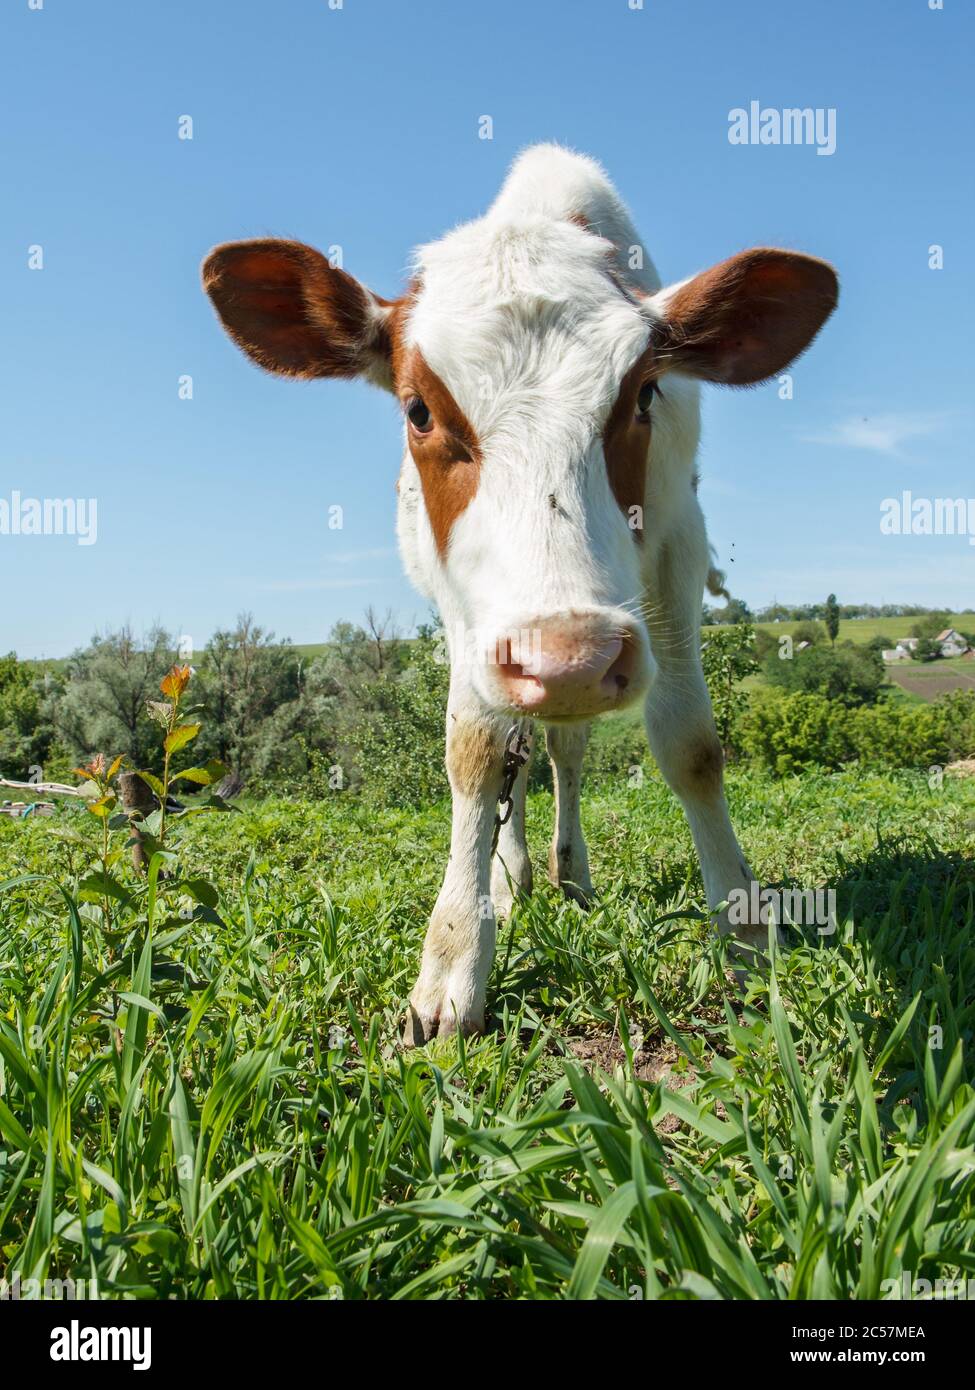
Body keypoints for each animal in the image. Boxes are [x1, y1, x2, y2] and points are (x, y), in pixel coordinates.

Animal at [203, 144, 838, 1044]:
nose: (566, 658)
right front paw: (454, 956)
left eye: (643, 394)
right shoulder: (459, 604)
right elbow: (476, 752)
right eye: (418, 409)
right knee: (521, 750)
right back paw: (513, 879)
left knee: (563, 752)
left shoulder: (677, 545)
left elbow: (690, 746)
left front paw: (743, 929)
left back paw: (569, 872)